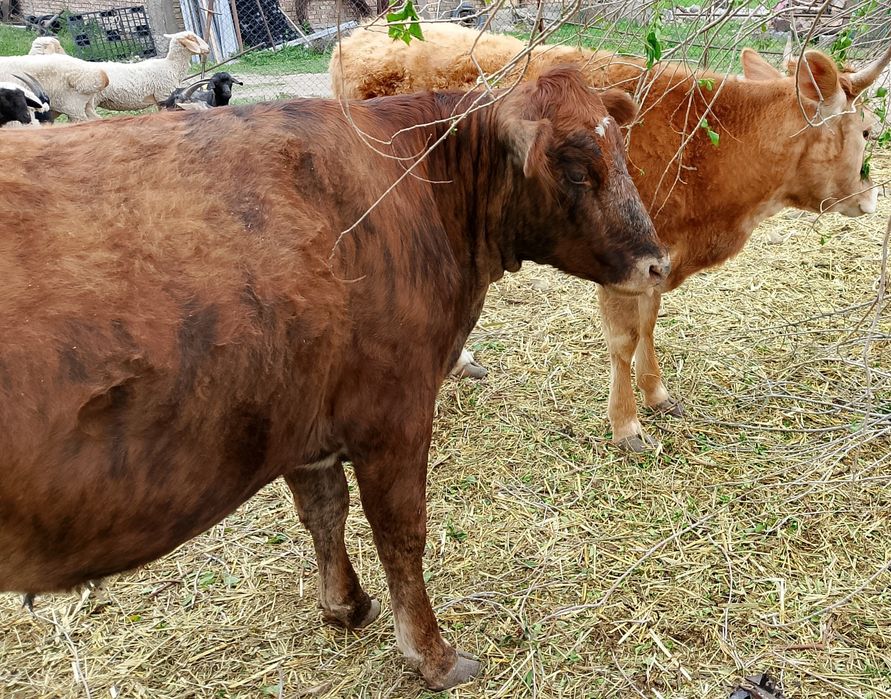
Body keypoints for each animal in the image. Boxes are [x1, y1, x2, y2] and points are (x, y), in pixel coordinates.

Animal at [0, 67, 668, 689]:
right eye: (576, 169)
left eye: (621, 150)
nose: (658, 263)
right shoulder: (394, 414)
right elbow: (401, 534)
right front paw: (432, 655)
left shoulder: (299, 416)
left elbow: (324, 510)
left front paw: (344, 604)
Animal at [331, 23, 890, 450]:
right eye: (867, 132)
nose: (871, 198)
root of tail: (357, 36)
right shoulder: (621, 263)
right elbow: (623, 339)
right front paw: (626, 425)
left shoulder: (657, 259)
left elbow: (649, 325)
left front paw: (657, 395)